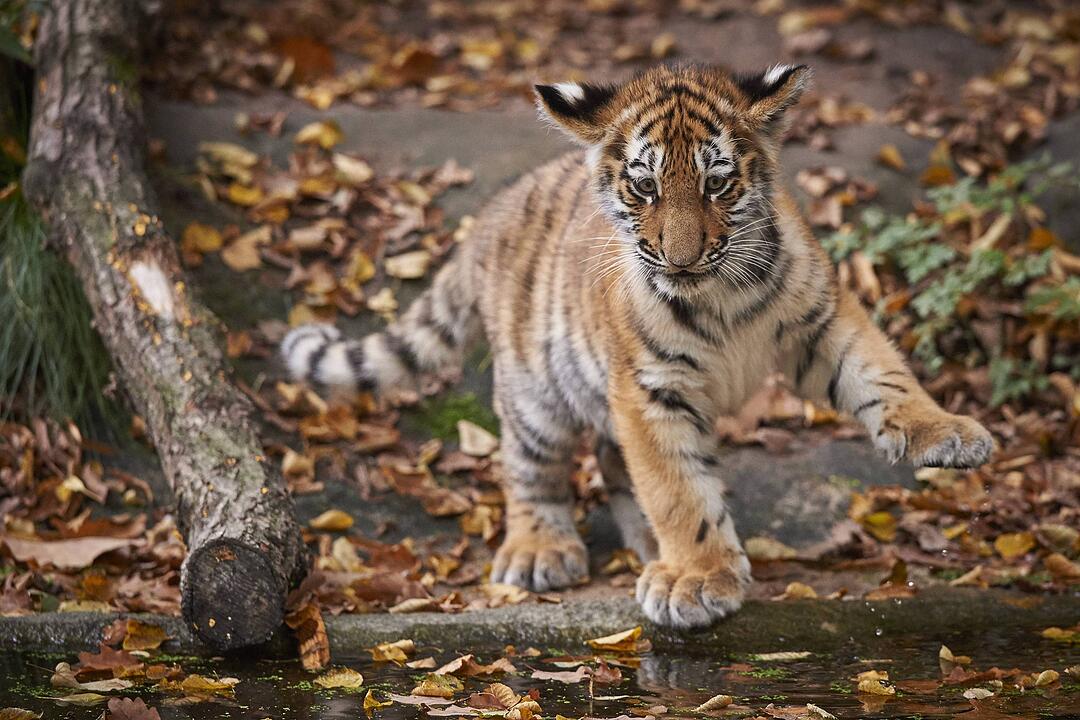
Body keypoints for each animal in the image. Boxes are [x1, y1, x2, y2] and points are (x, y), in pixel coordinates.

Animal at [281, 64, 993, 628]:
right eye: (645, 185)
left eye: (717, 184)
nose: (683, 258)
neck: (721, 292)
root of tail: (490, 215)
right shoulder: (650, 388)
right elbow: (676, 487)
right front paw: (699, 578)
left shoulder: (821, 322)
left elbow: (879, 372)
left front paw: (948, 434)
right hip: (537, 394)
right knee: (530, 468)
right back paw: (541, 551)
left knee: (610, 457)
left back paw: (645, 547)